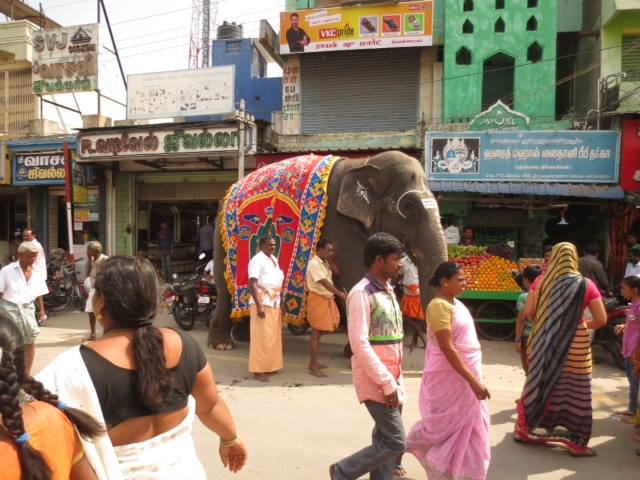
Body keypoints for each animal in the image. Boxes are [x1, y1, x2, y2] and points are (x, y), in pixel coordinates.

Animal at [208, 150, 448, 348]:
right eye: (409, 206)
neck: (364, 163)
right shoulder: (340, 223)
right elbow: (355, 276)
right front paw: (356, 352)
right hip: (222, 235)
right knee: (223, 289)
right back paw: (222, 345)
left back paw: (245, 337)